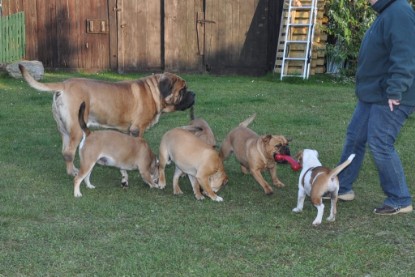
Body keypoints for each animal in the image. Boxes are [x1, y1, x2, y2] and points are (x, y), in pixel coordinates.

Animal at [18, 64, 196, 175]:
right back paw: (72, 172)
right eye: (183, 89)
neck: (155, 92)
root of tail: (64, 85)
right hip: (76, 130)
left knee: (64, 151)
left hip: (64, 130)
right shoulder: (137, 129)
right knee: (69, 152)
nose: (194, 94)